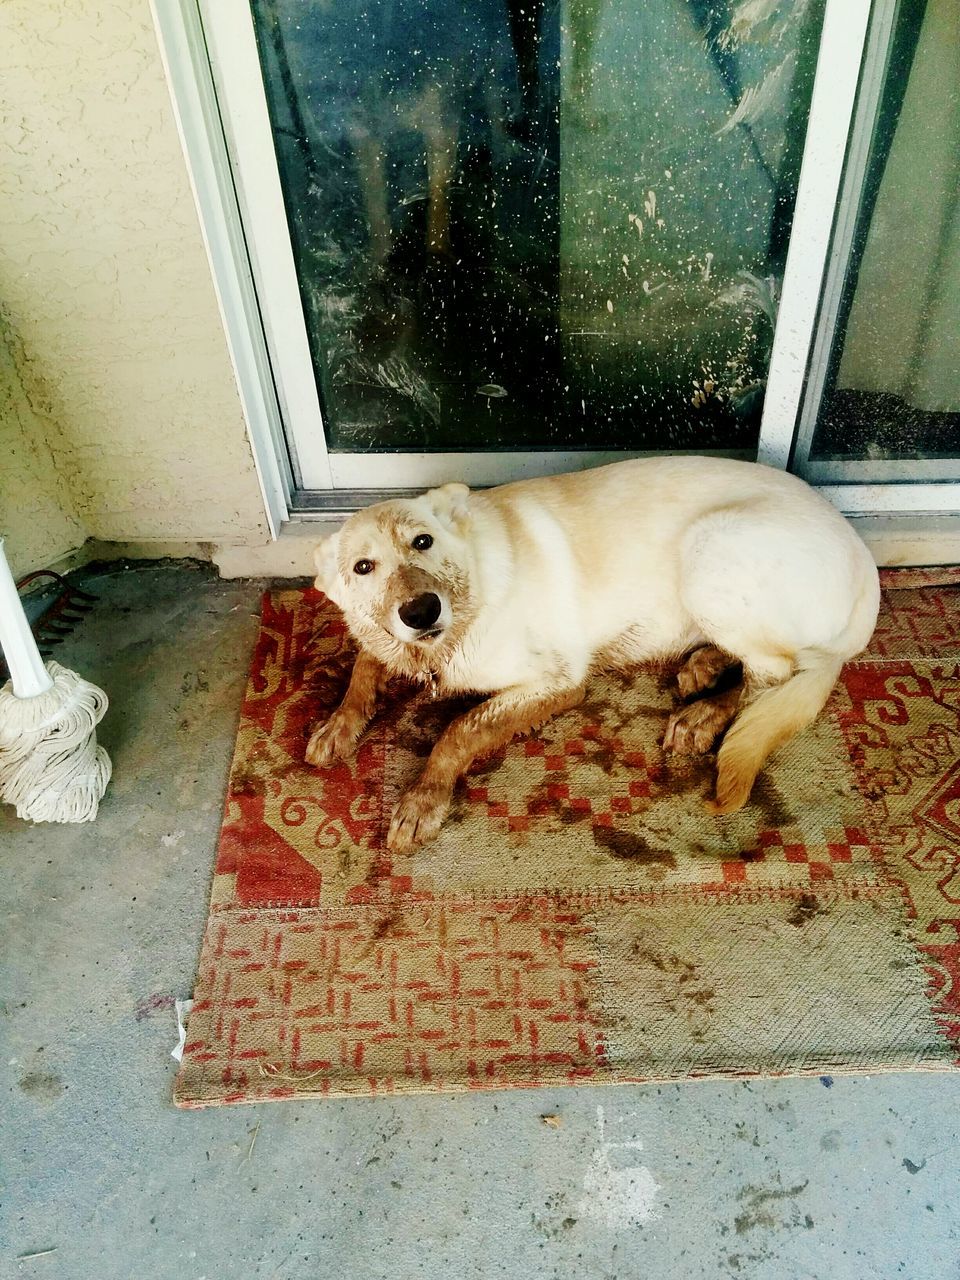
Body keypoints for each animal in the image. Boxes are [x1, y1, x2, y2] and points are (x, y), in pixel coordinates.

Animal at [308, 458, 880, 849]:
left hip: (710, 551)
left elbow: (459, 728)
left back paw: (704, 714)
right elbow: (364, 664)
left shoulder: (558, 680)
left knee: (774, 671)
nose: (422, 610)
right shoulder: (390, 641)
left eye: (423, 542)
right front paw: (337, 725)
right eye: (363, 568)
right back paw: (703, 664)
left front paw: (423, 798)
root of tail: (866, 569)